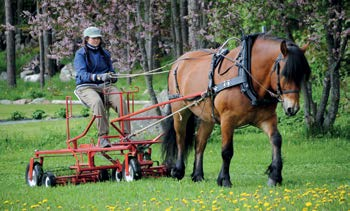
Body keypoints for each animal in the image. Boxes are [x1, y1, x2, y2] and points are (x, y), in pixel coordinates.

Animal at [161, 33, 312, 187]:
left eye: (301, 75)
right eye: (285, 74)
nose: (292, 108)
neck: (246, 79)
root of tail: (178, 61)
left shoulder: (267, 118)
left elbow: (276, 140)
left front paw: (274, 176)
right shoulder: (227, 120)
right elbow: (227, 151)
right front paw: (224, 179)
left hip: (207, 117)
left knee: (200, 142)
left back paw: (198, 175)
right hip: (180, 110)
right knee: (181, 138)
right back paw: (178, 171)